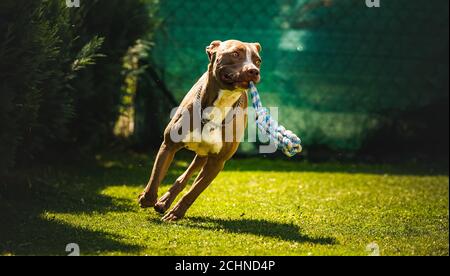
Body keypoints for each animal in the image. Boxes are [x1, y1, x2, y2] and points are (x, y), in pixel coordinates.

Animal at [139, 38, 262, 221]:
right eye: (235, 54)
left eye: (258, 61)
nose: (254, 70)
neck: (219, 105)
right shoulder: (169, 145)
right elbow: (156, 175)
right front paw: (147, 198)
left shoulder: (216, 163)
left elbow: (193, 192)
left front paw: (175, 213)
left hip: (204, 156)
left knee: (186, 176)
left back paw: (165, 202)